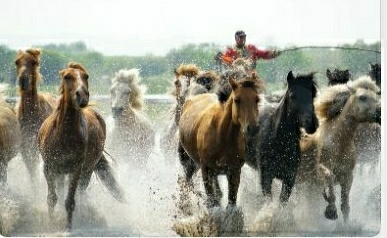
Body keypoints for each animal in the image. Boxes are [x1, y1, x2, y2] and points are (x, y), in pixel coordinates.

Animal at [38, 62, 126, 230]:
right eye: (67, 77)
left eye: (86, 76)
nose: (83, 96)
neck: (64, 135)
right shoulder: (49, 167)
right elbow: (52, 198)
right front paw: (52, 224)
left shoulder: (76, 169)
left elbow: (70, 200)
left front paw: (68, 226)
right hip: (61, 172)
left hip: (87, 171)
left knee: (80, 194)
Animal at [178, 73, 264, 208]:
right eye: (237, 100)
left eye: (257, 99)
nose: (253, 128)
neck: (222, 136)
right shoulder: (206, 170)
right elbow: (212, 201)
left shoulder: (234, 171)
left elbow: (231, 202)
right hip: (190, 162)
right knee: (187, 181)